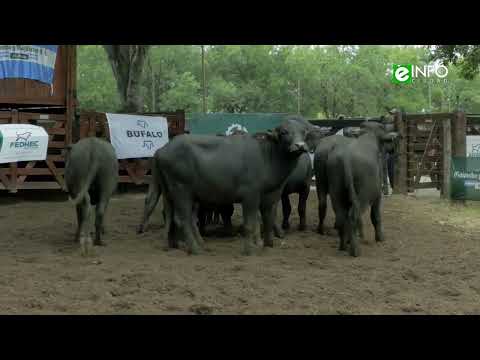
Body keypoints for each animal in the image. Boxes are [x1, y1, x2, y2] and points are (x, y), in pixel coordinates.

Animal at [156, 116, 310, 255]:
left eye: (304, 132)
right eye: (284, 132)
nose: (300, 146)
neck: (267, 156)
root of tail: (161, 151)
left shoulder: (269, 197)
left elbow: (268, 220)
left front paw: (268, 245)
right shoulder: (250, 196)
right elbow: (249, 224)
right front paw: (249, 250)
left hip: (172, 195)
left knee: (173, 218)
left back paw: (176, 245)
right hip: (181, 191)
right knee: (183, 219)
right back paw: (195, 249)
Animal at [326, 122, 398, 258]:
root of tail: (346, 156)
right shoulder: (377, 195)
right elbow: (376, 216)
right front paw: (380, 238)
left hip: (336, 193)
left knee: (342, 217)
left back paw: (343, 246)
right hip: (363, 195)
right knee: (353, 216)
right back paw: (355, 250)